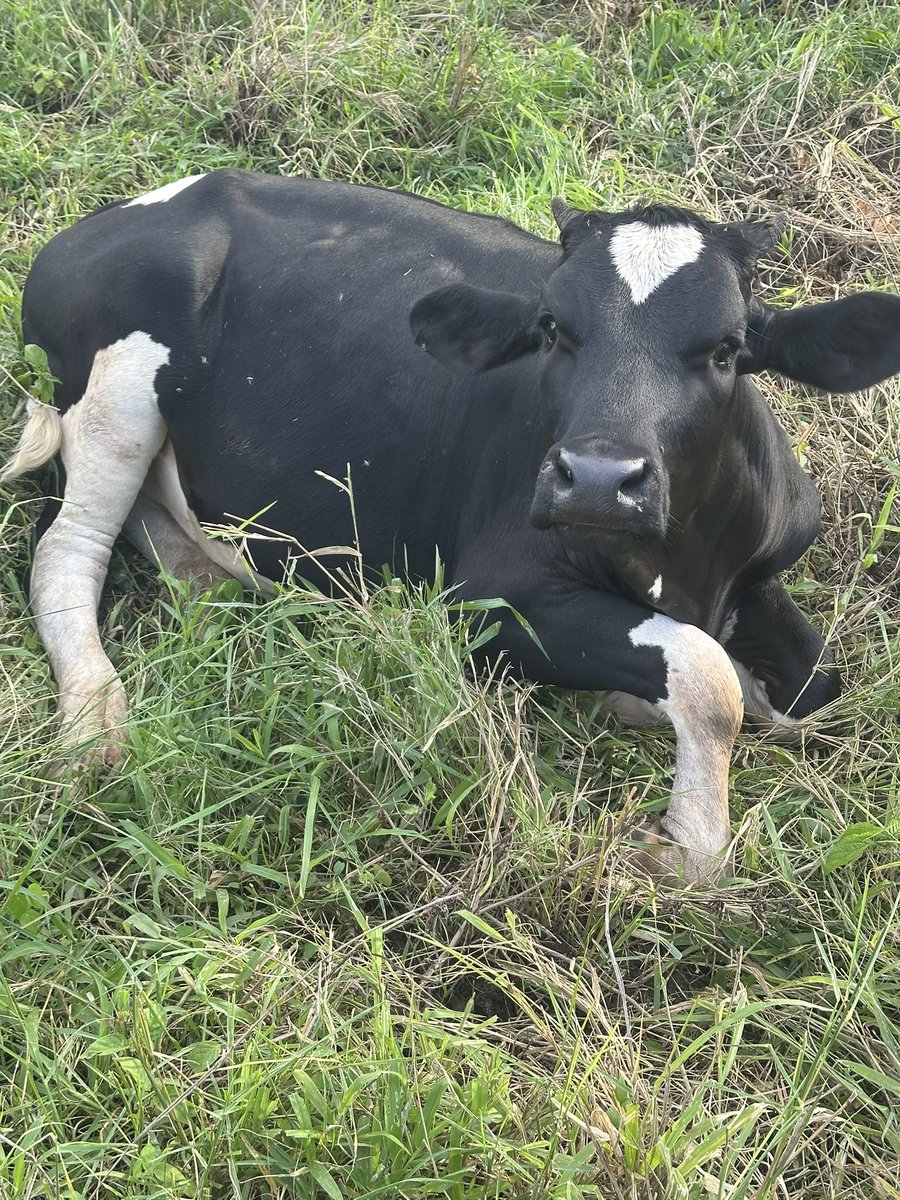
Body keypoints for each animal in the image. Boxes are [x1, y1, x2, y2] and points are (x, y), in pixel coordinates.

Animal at [4, 170, 900, 883]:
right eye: (551, 330)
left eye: (726, 348)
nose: (598, 481)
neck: (684, 568)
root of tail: (104, 222)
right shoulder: (484, 599)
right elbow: (711, 681)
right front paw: (686, 841)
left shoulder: (760, 574)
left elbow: (814, 687)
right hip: (114, 385)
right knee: (63, 550)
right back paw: (94, 719)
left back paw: (203, 579)